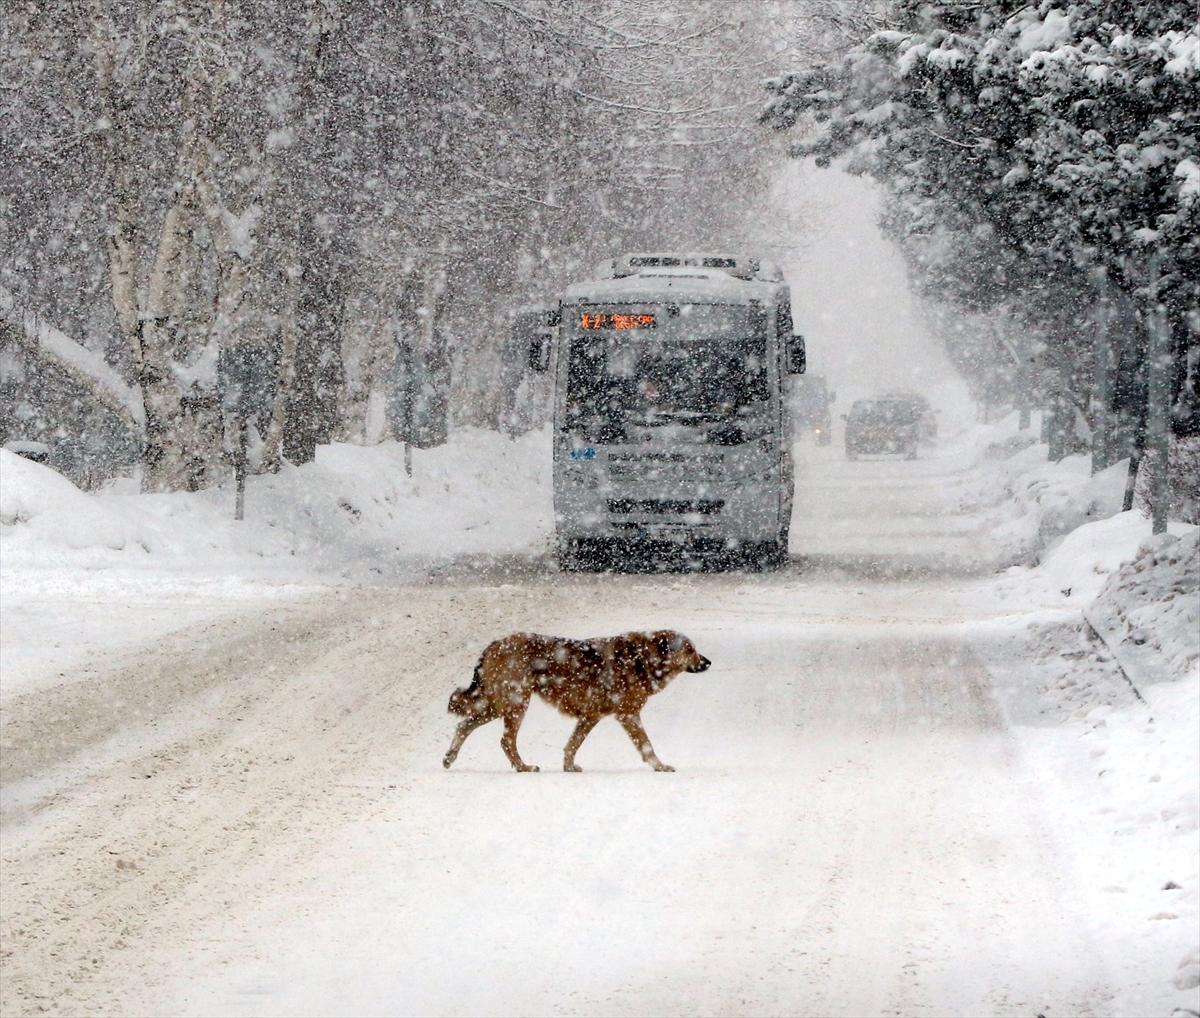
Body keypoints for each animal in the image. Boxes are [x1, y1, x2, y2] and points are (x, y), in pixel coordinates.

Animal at [448, 629, 710, 773]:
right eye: (689, 649)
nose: (708, 662)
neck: (642, 659)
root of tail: (495, 643)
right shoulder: (627, 714)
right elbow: (647, 745)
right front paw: (660, 766)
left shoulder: (591, 716)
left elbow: (573, 744)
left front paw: (569, 767)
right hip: (515, 704)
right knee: (505, 740)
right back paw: (524, 767)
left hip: (497, 704)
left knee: (464, 725)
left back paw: (449, 757)